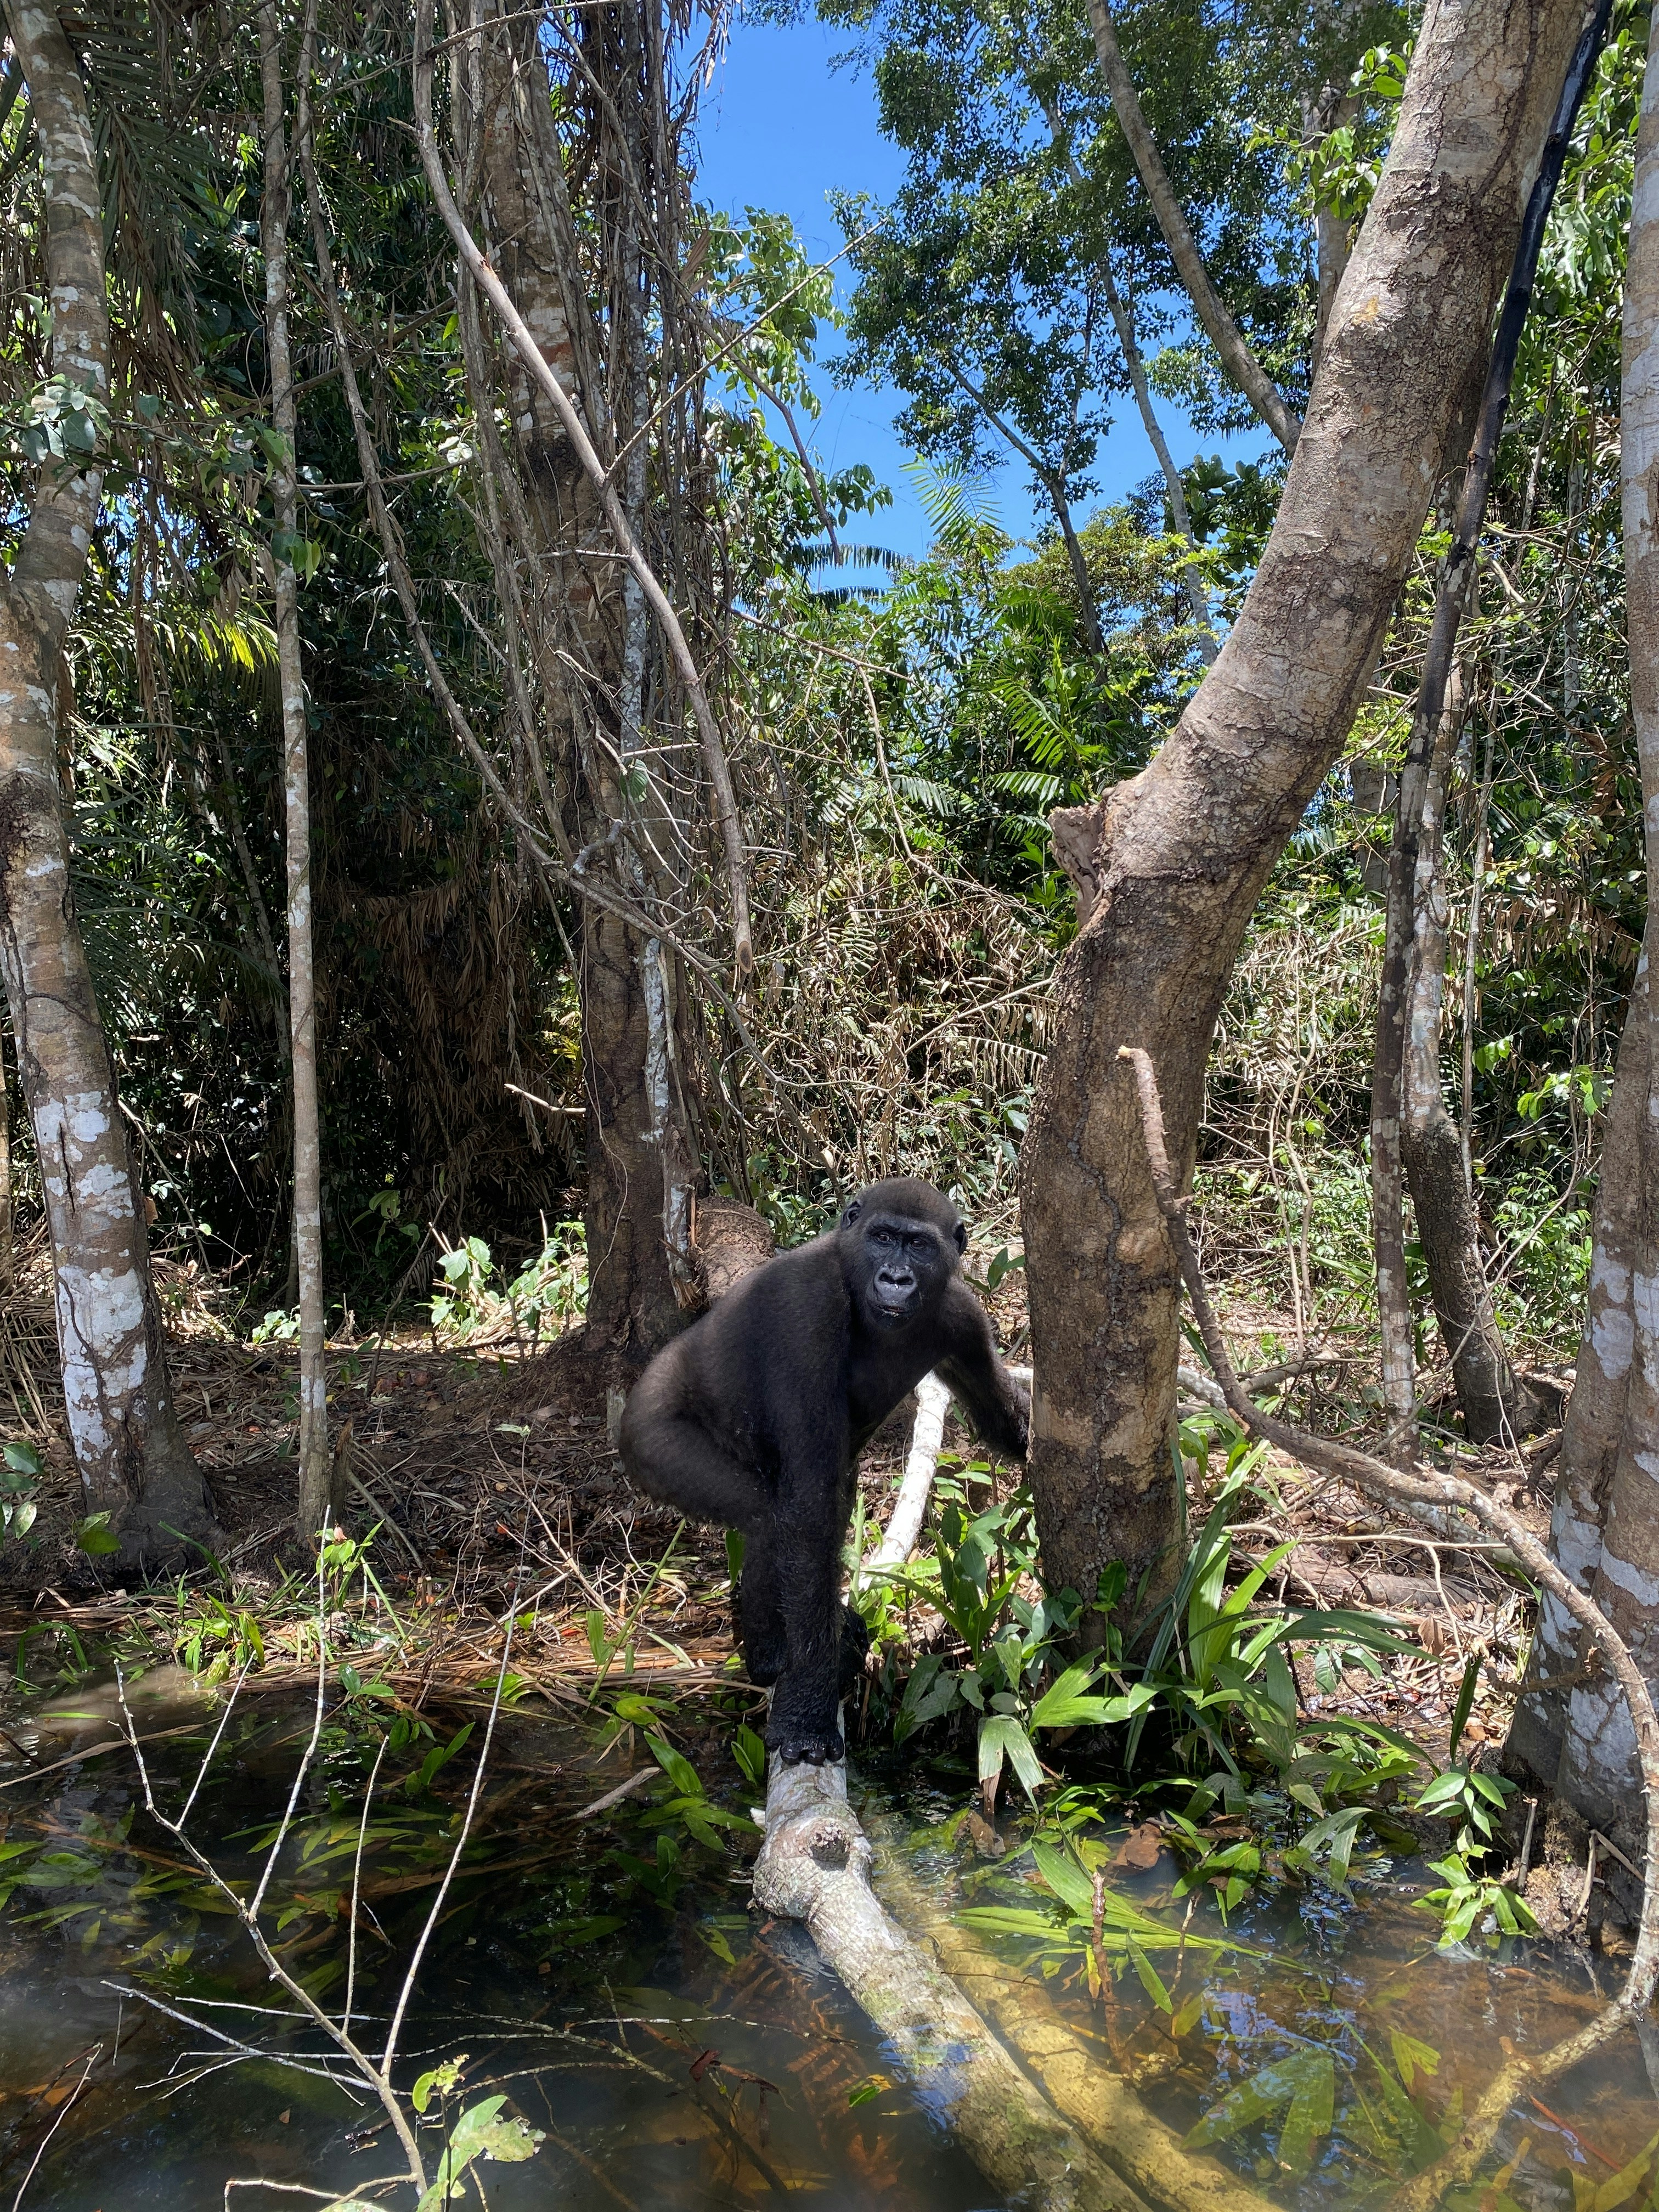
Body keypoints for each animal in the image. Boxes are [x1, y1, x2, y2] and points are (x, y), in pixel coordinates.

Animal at [619, 1177, 1029, 1764]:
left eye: (919, 1246)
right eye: (883, 1238)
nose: (896, 1277)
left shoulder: (963, 1316)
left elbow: (1000, 1416)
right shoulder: (806, 1310)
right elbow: (808, 1509)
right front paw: (808, 1712)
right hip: (650, 1437)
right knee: (771, 1519)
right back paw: (773, 1654)